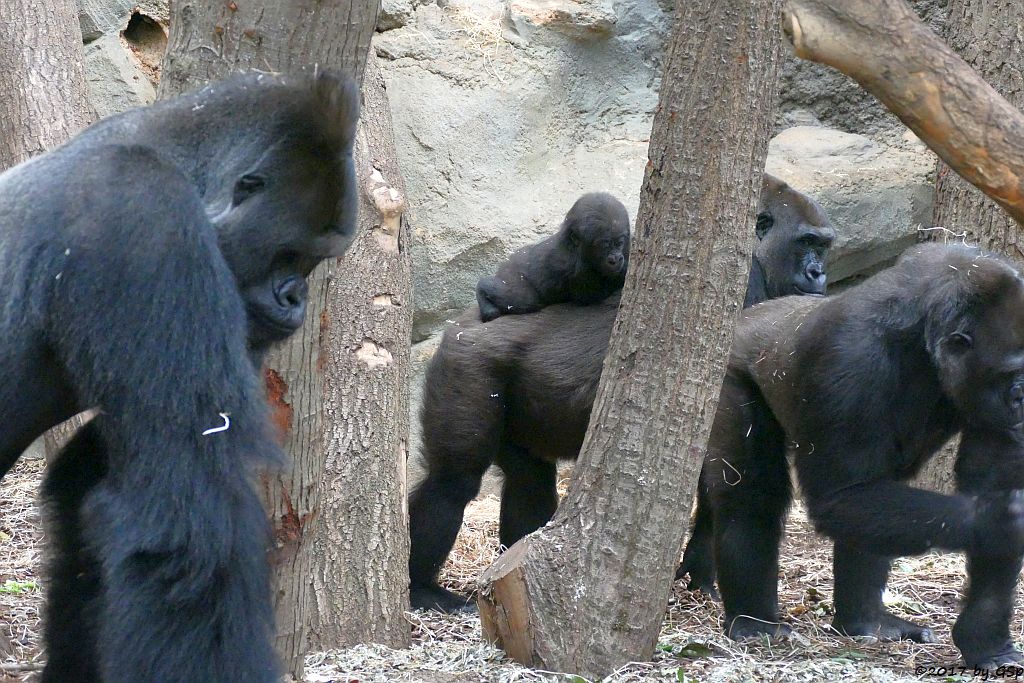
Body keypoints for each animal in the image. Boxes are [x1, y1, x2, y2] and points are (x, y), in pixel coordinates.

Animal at [473, 191, 630, 321]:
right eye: (605, 245)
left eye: (619, 243)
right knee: (521, 298)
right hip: (511, 274)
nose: (616, 259)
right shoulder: (575, 269)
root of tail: (506, 262)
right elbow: (592, 295)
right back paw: (484, 294)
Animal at [692, 244, 1024, 667]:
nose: (1022, 398)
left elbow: (988, 484)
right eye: (1010, 373)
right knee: (751, 498)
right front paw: (1002, 517)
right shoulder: (850, 359)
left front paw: (985, 638)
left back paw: (865, 620)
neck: (924, 336)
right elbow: (840, 496)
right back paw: (754, 621)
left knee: (873, 507)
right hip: (724, 372)